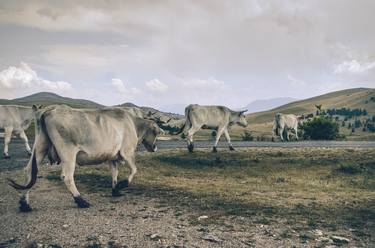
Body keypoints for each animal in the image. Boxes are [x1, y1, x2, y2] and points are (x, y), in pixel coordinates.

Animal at [8, 104, 164, 211]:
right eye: (155, 132)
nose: (155, 147)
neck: (133, 123)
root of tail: (50, 110)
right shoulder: (127, 152)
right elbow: (134, 170)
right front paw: (123, 184)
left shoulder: (112, 157)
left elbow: (114, 173)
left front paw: (115, 190)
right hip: (68, 152)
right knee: (67, 176)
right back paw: (81, 200)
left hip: (40, 147)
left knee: (29, 171)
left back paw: (24, 204)